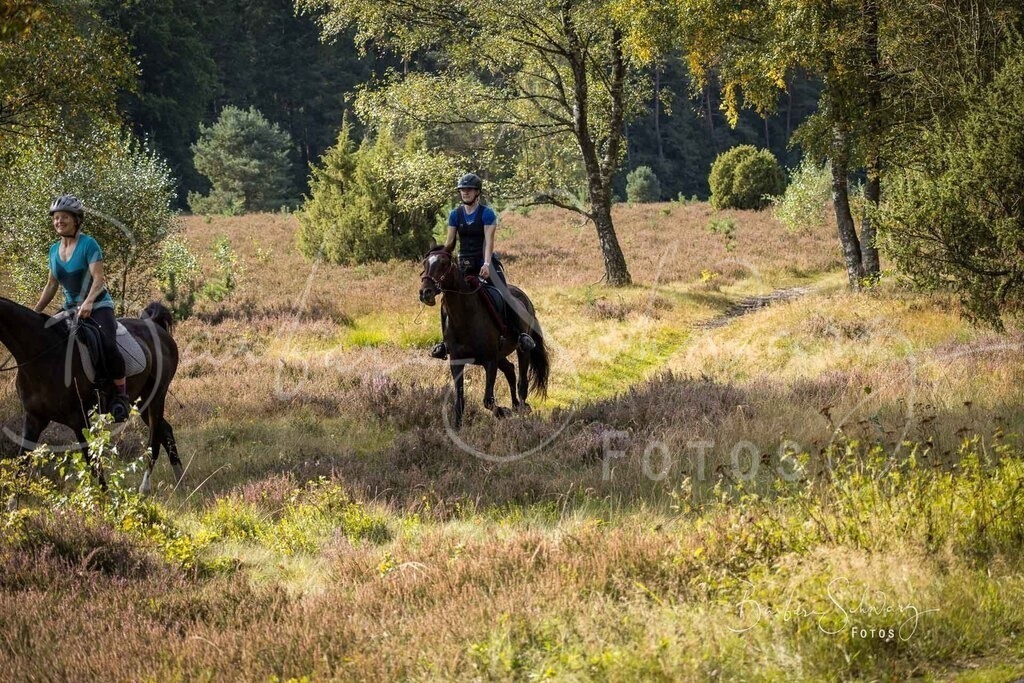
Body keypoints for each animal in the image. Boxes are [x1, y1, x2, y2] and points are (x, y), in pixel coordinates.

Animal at [0, 297, 182, 494]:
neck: (41, 357)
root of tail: (156, 327)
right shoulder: (34, 418)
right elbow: (22, 462)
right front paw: (12, 502)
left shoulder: (79, 420)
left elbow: (94, 464)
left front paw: (106, 500)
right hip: (142, 403)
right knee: (166, 431)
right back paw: (181, 480)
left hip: (156, 396)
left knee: (154, 441)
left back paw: (145, 487)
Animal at [418, 246, 549, 428]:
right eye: (425, 263)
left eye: (444, 263)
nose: (425, 292)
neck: (465, 316)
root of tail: (525, 298)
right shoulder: (457, 361)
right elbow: (459, 400)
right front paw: (457, 428)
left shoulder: (490, 362)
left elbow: (488, 400)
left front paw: (503, 412)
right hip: (500, 355)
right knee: (510, 370)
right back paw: (515, 406)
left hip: (521, 351)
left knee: (522, 382)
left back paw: (522, 412)